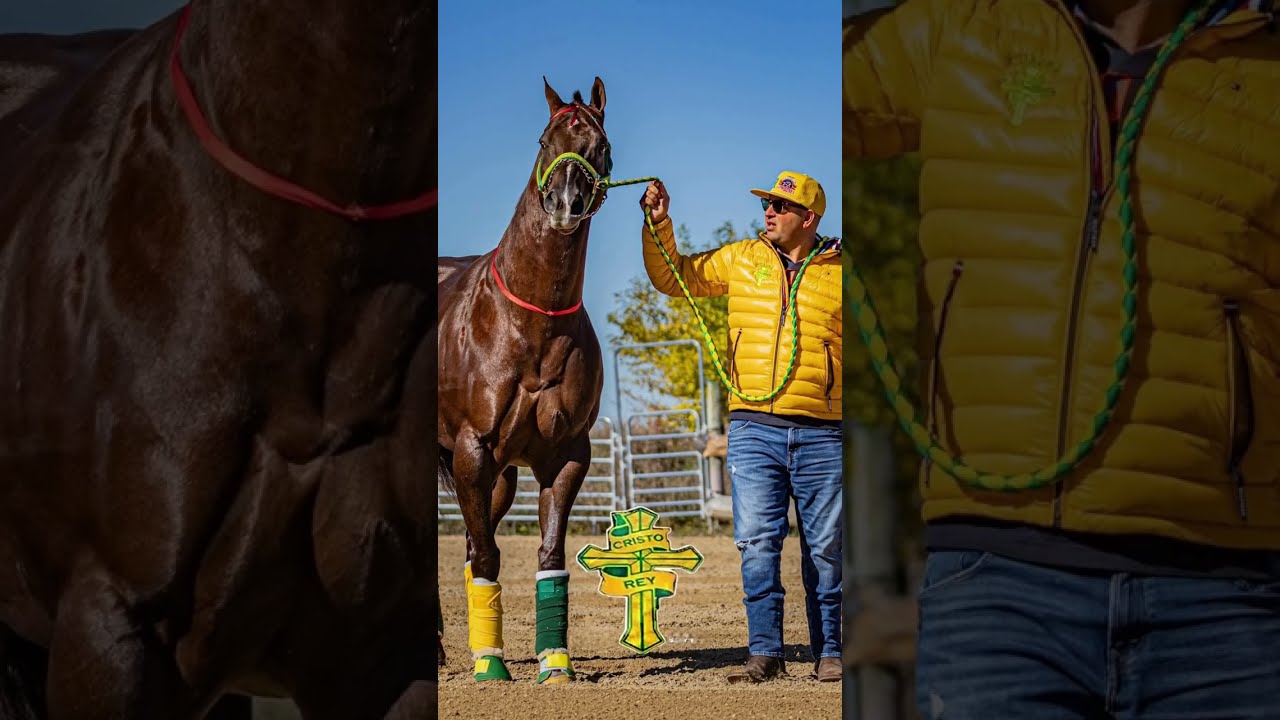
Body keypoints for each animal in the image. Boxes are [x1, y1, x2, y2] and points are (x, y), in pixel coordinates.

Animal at [437, 76, 610, 684]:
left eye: (599, 144)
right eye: (543, 138)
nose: (564, 203)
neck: (530, 321)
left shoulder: (566, 454)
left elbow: (548, 556)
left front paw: (554, 662)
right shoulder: (472, 449)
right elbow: (490, 556)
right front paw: (490, 665)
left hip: (499, 479)